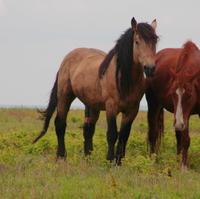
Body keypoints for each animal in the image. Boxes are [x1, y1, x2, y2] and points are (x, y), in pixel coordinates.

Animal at [34, 17, 158, 165]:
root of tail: (66, 59)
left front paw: (119, 162)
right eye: (137, 41)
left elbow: (124, 135)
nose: (150, 68)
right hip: (64, 97)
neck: (123, 79)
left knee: (88, 129)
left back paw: (88, 158)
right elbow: (112, 134)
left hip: (92, 105)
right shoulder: (111, 107)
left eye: (155, 41)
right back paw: (61, 156)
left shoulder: (132, 110)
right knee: (60, 124)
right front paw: (110, 161)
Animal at [145, 40, 200, 169]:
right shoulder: (185, 116)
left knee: (177, 136)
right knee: (153, 133)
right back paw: (152, 159)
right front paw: (184, 167)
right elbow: (186, 139)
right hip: (154, 105)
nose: (179, 124)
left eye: (190, 94)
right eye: (172, 94)